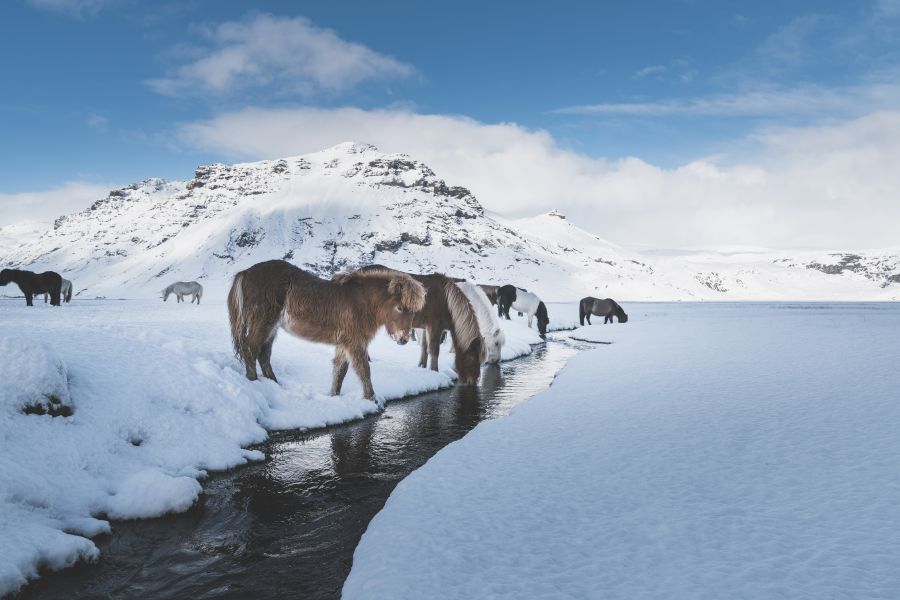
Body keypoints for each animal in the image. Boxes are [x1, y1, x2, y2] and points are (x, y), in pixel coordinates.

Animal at [228, 260, 426, 401]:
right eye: (400, 308)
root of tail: (245, 272)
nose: (403, 339)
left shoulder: (344, 343)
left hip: (271, 329)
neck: (362, 302)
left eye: (414, 312)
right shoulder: (355, 343)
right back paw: (254, 382)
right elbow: (364, 370)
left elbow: (339, 371)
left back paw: (276, 386)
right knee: (251, 350)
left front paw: (334, 397)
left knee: (264, 355)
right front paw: (372, 399)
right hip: (263, 324)